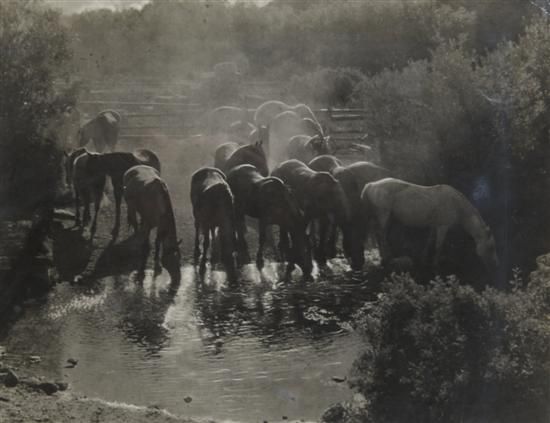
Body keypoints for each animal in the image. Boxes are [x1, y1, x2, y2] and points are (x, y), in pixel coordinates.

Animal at [361, 178, 498, 271]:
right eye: (491, 247)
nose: (494, 265)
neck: (457, 205)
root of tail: (371, 185)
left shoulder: (434, 226)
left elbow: (429, 241)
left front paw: (424, 258)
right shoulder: (443, 227)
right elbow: (438, 246)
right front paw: (435, 265)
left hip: (382, 217)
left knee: (378, 235)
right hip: (383, 215)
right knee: (381, 235)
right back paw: (386, 258)